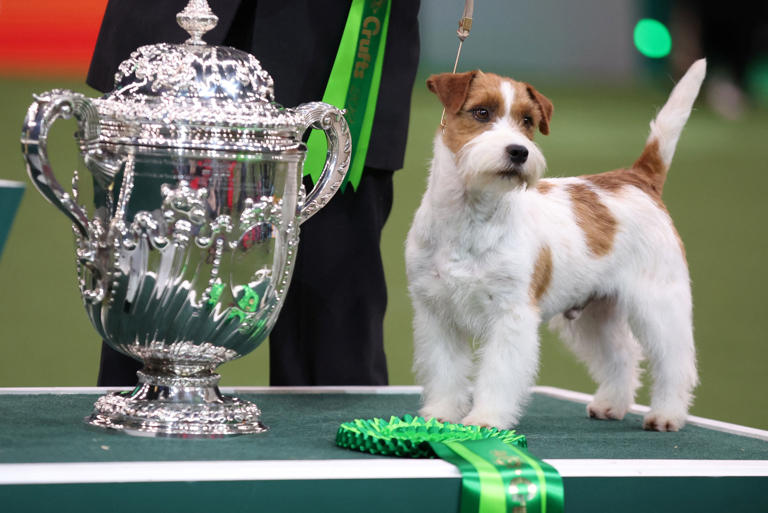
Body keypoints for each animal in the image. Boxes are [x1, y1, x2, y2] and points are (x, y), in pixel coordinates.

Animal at [408, 58, 708, 430]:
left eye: (527, 120)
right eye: (481, 112)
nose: (518, 152)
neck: (471, 216)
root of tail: (637, 178)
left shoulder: (511, 314)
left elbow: (498, 373)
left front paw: (486, 418)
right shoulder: (437, 312)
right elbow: (445, 370)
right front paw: (442, 413)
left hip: (659, 303)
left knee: (674, 362)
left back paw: (666, 414)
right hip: (596, 312)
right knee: (622, 354)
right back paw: (610, 404)